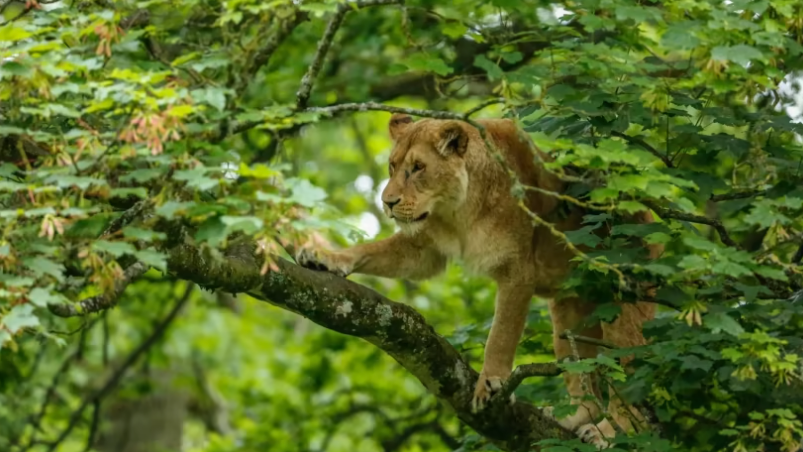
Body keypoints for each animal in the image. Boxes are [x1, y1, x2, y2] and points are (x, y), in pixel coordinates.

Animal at [298, 113, 664, 448]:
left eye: (418, 167)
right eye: (392, 165)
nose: (387, 203)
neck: (457, 211)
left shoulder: (518, 272)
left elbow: (500, 335)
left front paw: (490, 384)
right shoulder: (425, 250)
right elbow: (372, 251)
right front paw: (326, 257)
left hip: (625, 315)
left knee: (632, 388)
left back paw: (607, 433)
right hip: (570, 315)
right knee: (582, 376)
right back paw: (572, 418)